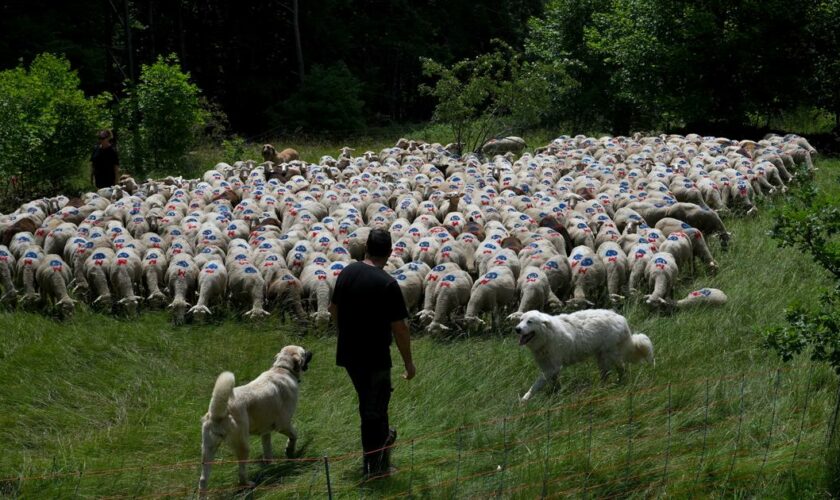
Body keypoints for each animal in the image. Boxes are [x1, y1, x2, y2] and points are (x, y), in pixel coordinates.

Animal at [199, 346, 314, 490]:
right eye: (303, 351)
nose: (311, 352)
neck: (282, 369)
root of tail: (217, 413)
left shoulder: (266, 432)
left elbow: (267, 451)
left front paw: (271, 465)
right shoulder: (284, 424)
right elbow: (294, 436)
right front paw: (289, 451)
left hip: (208, 450)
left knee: (203, 479)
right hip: (243, 446)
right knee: (241, 474)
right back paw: (249, 484)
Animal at [512, 310, 656, 400]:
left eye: (529, 322)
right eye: (521, 320)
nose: (517, 329)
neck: (547, 336)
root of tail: (621, 318)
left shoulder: (552, 368)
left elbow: (535, 385)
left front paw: (524, 399)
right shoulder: (548, 367)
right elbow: (554, 384)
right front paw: (556, 394)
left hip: (608, 355)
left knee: (622, 368)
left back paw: (617, 384)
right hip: (602, 357)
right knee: (610, 373)